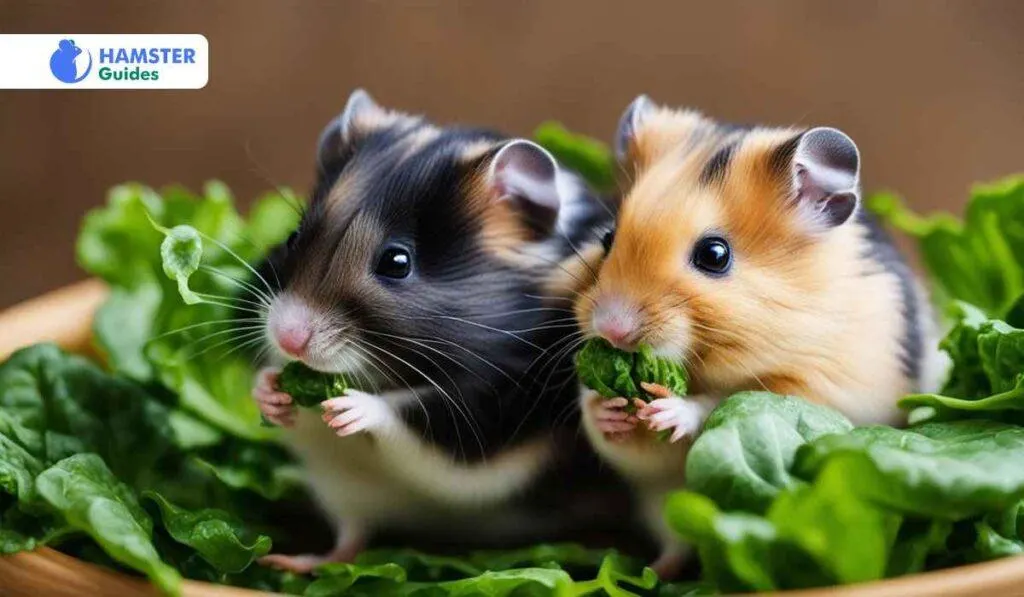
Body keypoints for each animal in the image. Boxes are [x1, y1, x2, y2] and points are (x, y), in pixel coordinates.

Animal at [247, 89, 611, 572]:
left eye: (397, 262)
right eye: (292, 238)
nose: (289, 339)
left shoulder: (479, 425)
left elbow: (407, 416)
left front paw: (347, 409)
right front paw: (271, 392)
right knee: (350, 538)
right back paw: (293, 562)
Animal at [571, 95, 944, 578]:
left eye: (715, 255)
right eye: (607, 238)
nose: (611, 328)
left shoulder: (816, 391)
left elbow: (722, 404)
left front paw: (670, 410)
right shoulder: (651, 472)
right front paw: (609, 409)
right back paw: (654, 572)